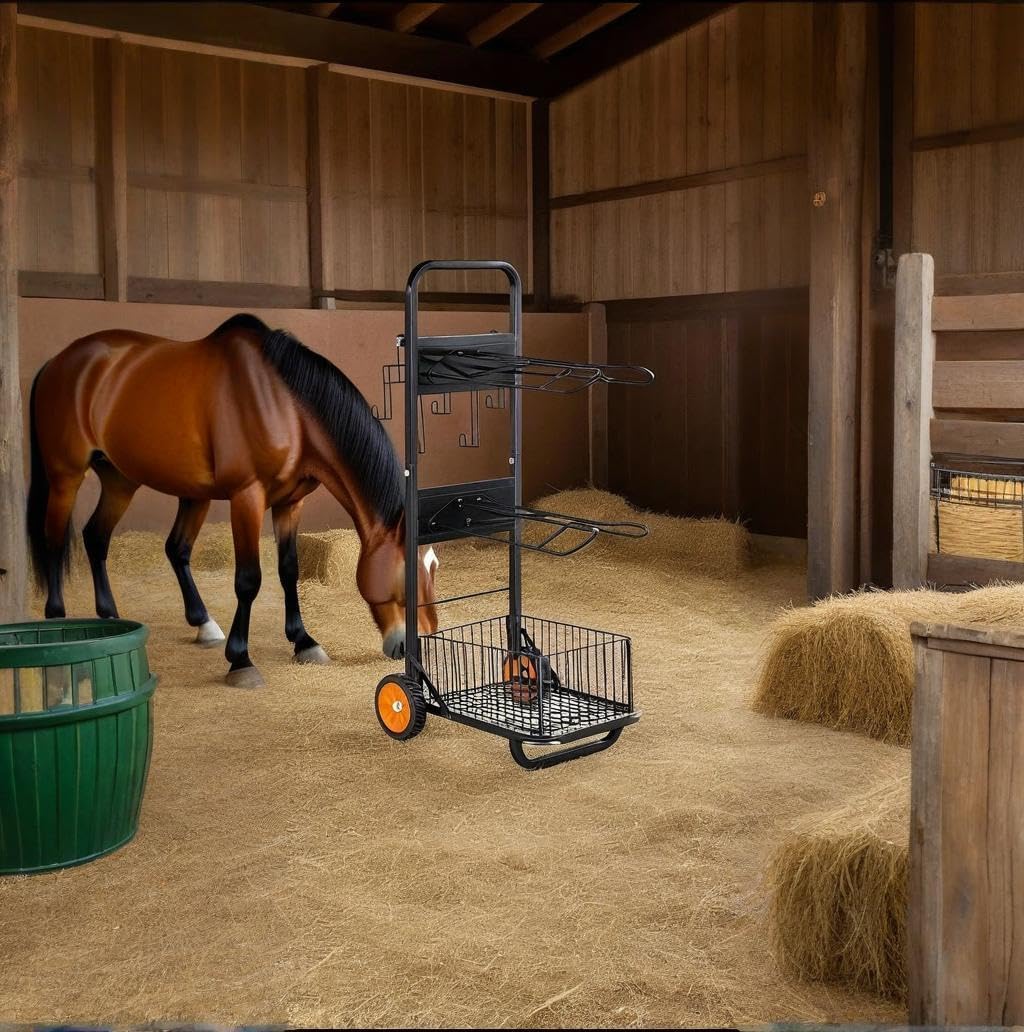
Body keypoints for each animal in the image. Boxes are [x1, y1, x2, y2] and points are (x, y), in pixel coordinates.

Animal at [26, 313, 439, 688]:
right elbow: (248, 580)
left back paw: (130, 620)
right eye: (406, 571)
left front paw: (303, 641)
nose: (413, 648)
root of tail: (59, 361)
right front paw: (241, 660)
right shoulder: (247, 498)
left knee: (102, 539)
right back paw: (59, 633)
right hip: (66, 478)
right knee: (55, 542)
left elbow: (289, 569)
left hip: (120, 481)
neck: (284, 406)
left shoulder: (290, 503)